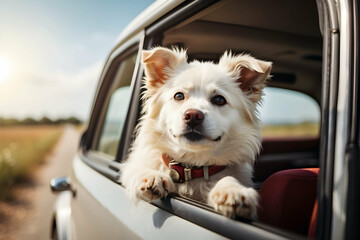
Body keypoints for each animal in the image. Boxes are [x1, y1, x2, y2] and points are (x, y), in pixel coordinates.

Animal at [119, 47, 272, 219]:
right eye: (179, 95)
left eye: (219, 99)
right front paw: (151, 177)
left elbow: (228, 178)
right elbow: (135, 170)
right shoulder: (132, 167)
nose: (193, 115)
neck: (191, 168)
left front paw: (233, 191)